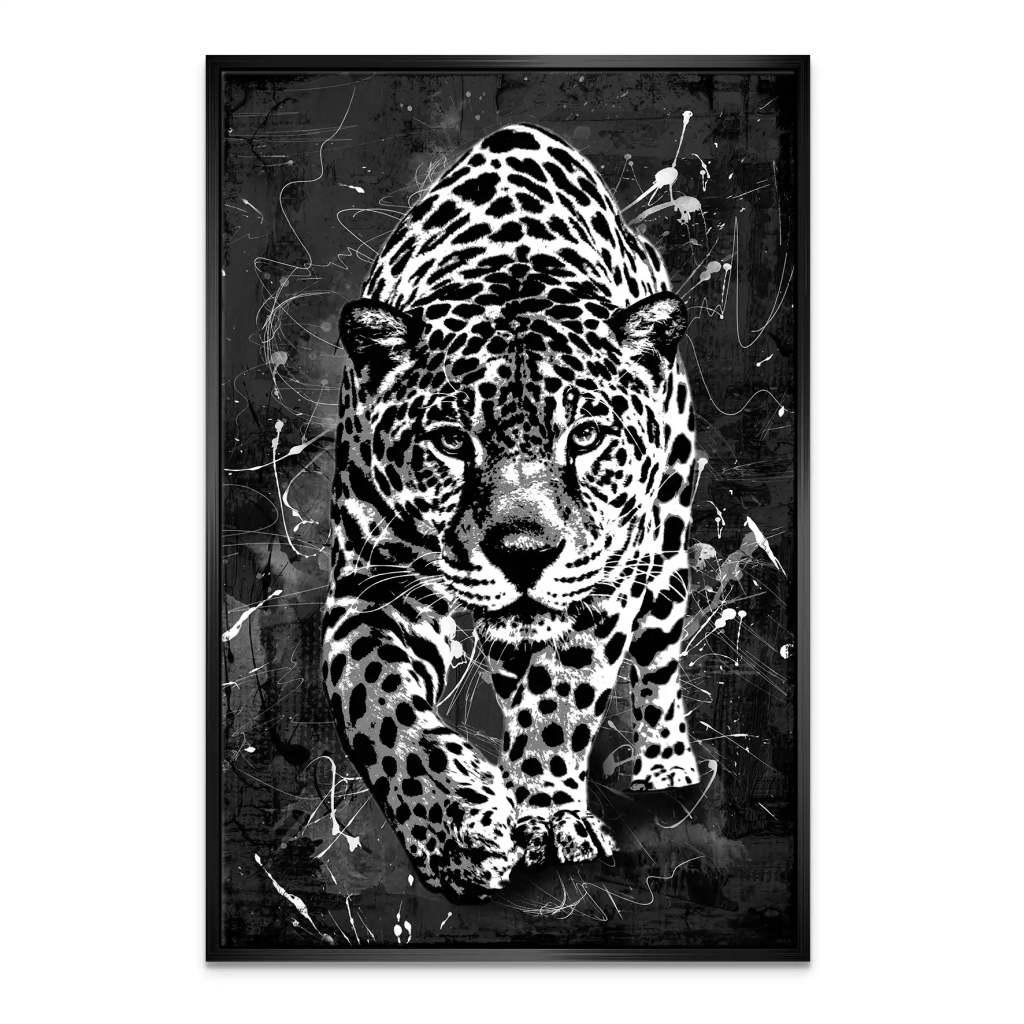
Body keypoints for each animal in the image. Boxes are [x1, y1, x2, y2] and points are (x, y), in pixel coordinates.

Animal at [320, 123, 701, 903]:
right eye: (449, 440)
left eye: (583, 436)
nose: (524, 553)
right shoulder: (372, 591)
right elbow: (376, 706)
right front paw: (456, 830)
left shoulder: (603, 587)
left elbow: (560, 698)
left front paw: (549, 817)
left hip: (667, 551)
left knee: (658, 663)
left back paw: (667, 765)